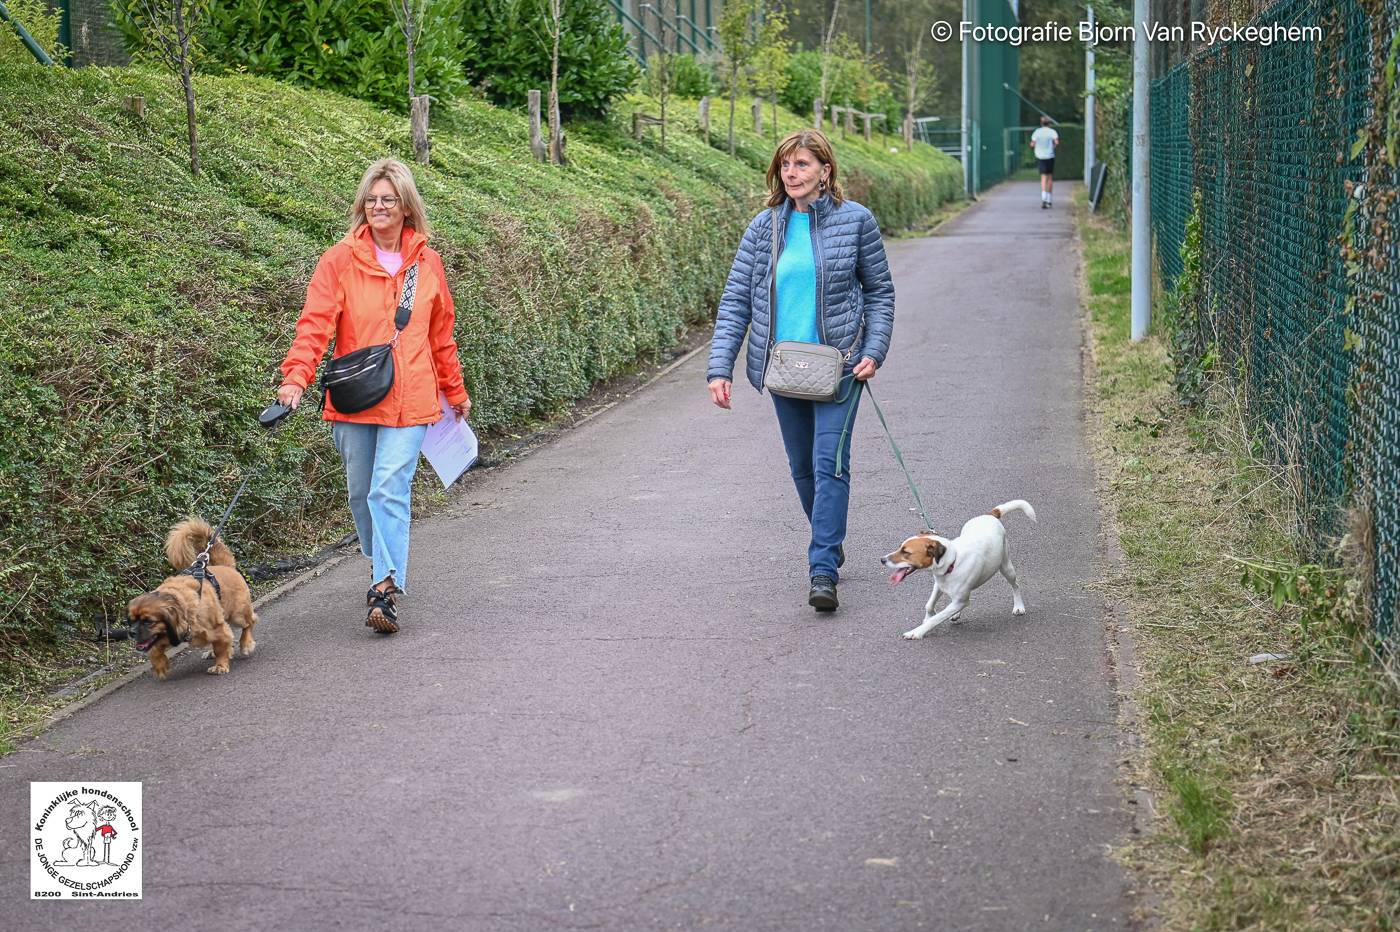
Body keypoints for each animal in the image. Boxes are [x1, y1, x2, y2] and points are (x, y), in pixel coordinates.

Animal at [127, 514, 259, 674]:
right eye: (131, 621)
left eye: (148, 621)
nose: (131, 633)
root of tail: (225, 566)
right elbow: (154, 650)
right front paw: (160, 665)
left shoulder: (219, 628)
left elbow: (221, 648)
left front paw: (220, 665)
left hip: (238, 615)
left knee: (250, 622)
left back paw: (246, 644)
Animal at [879, 500, 1036, 638]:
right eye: (901, 547)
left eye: (906, 552)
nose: (882, 559)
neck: (952, 561)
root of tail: (989, 515)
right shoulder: (939, 585)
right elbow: (929, 605)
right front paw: (928, 618)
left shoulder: (962, 600)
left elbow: (937, 618)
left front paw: (917, 632)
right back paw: (955, 614)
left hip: (1006, 567)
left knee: (1015, 585)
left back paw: (1018, 606)